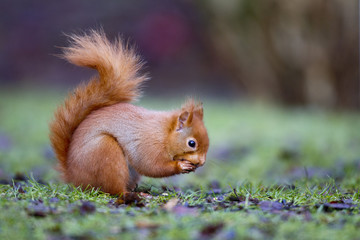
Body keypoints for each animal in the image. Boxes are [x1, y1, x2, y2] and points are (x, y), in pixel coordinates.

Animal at [49, 30, 210, 195]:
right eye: (191, 143)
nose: (202, 162)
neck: (164, 132)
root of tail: (73, 177)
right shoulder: (148, 145)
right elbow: (151, 166)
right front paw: (181, 166)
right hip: (105, 153)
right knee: (115, 189)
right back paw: (134, 194)